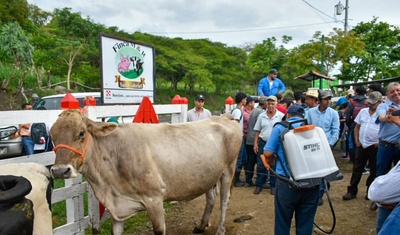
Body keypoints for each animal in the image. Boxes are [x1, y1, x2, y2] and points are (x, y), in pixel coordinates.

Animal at [48, 110, 242, 235]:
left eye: (81, 133)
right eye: (52, 136)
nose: (60, 171)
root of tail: (224, 116)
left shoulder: (154, 198)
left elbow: (159, 230)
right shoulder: (117, 209)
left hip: (228, 169)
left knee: (224, 200)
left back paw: (220, 230)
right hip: (208, 175)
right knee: (211, 197)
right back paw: (201, 226)